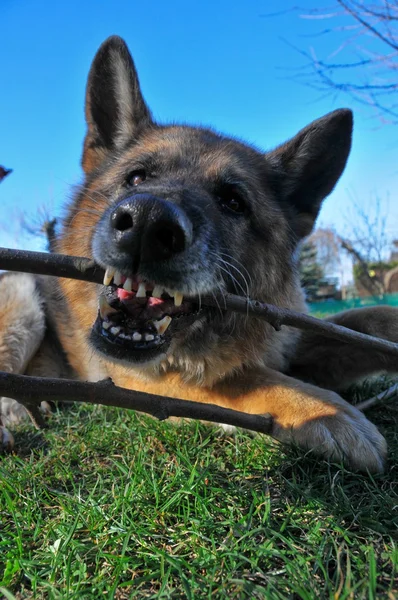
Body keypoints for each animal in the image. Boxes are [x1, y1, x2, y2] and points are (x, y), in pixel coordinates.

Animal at [0, 36, 398, 474]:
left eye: (233, 202)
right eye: (136, 177)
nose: (146, 225)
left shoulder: (292, 339)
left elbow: (371, 317)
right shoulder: (148, 379)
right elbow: (240, 378)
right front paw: (328, 413)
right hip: (20, 298)